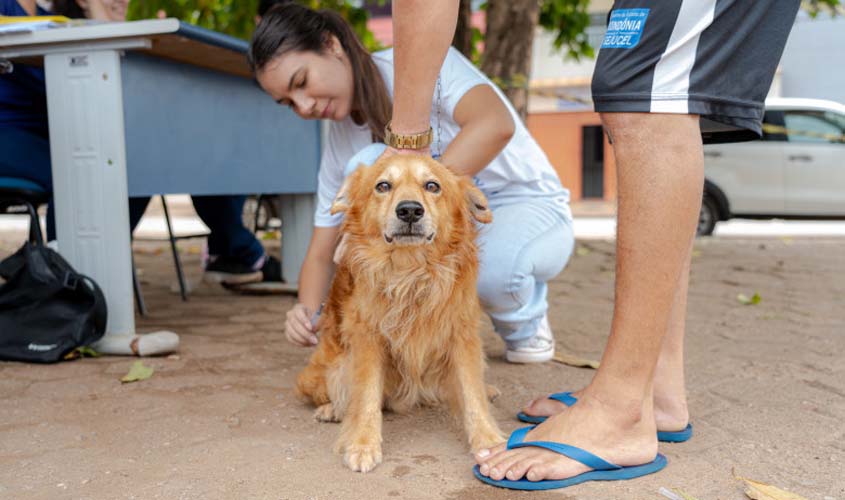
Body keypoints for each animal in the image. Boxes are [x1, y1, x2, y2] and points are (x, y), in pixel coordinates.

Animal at [296, 154, 504, 470]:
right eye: (383, 185)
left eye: (432, 185)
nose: (409, 210)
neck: (411, 274)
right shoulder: (368, 338)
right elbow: (366, 395)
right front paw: (362, 443)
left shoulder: (462, 334)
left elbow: (471, 393)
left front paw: (489, 440)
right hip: (331, 369)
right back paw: (332, 409)